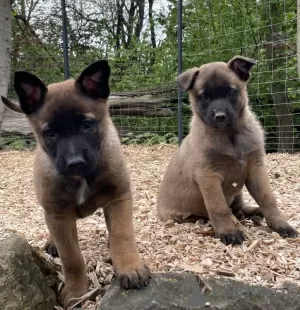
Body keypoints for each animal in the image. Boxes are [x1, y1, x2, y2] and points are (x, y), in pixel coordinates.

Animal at [1, 60, 151, 306]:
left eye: (87, 124)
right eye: (50, 133)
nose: (75, 163)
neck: (83, 178)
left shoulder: (119, 198)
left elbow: (122, 236)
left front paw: (130, 268)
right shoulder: (58, 214)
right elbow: (71, 257)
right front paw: (76, 290)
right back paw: (52, 242)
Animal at [157, 55, 298, 245]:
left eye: (231, 92)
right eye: (204, 96)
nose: (220, 117)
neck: (230, 135)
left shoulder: (256, 169)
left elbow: (268, 198)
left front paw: (281, 225)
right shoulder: (208, 176)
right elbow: (218, 208)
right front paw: (228, 232)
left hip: (238, 193)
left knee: (239, 208)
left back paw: (255, 212)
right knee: (217, 213)